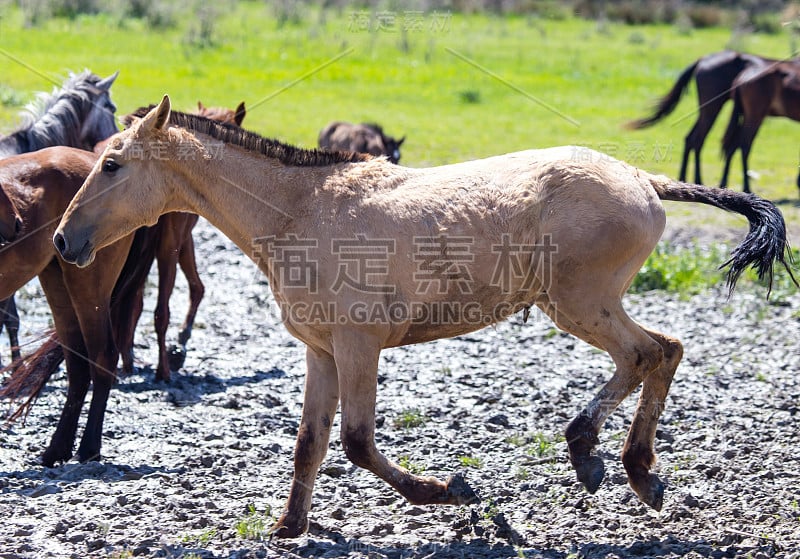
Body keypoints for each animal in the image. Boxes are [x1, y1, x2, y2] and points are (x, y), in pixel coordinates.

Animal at [54, 97, 792, 540]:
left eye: (112, 164)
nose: (64, 241)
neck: (302, 210)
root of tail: (643, 179)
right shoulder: (321, 350)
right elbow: (311, 442)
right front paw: (289, 527)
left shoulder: (359, 346)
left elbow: (356, 442)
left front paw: (454, 490)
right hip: (584, 303)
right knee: (656, 353)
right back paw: (618, 463)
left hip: (580, 302)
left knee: (651, 351)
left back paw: (612, 460)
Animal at [624, 50, 780, 186]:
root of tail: (702, 59)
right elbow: (739, 145)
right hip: (713, 108)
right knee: (701, 139)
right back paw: (699, 180)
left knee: (693, 138)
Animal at [720, 61, 800, 195]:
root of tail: (743, 77)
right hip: (755, 116)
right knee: (744, 145)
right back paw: (746, 188)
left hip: (749, 116)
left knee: (733, 145)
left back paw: (723, 184)